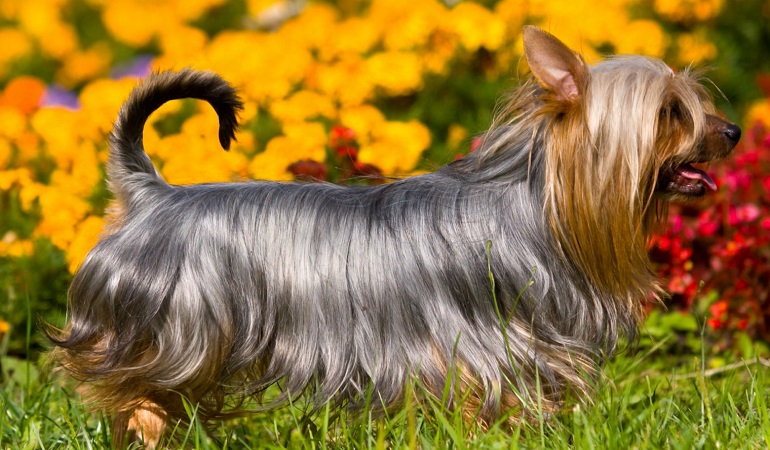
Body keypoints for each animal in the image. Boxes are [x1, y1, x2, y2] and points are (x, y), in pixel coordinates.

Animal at [48, 27, 736, 446]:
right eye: (672, 113)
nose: (730, 131)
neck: (540, 208)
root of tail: (150, 193)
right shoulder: (478, 353)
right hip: (167, 332)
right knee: (133, 392)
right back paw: (146, 427)